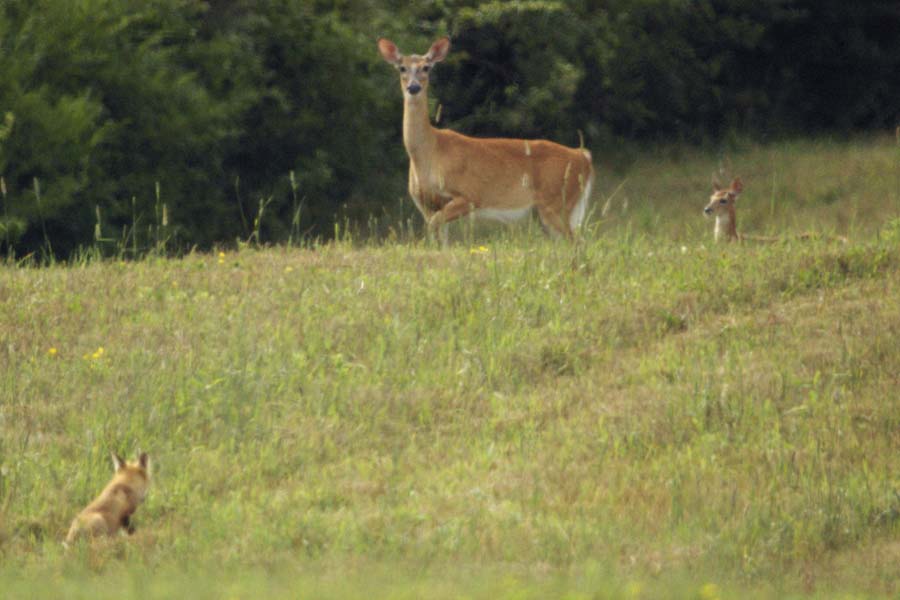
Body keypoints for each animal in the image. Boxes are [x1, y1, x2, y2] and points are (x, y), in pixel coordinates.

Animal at [377, 36, 595, 243]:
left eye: (426, 67)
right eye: (402, 67)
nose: (413, 87)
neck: (430, 151)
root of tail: (583, 157)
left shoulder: (470, 195)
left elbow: (434, 227)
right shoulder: (426, 204)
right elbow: (438, 237)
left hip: (557, 201)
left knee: (578, 241)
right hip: (549, 211)